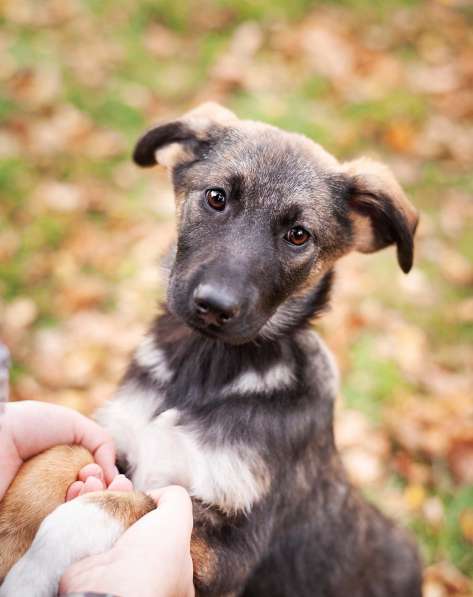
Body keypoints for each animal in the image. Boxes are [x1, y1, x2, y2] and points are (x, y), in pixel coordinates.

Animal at [0, 103, 420, 596]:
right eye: (216, 198)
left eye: (299, 235)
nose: (215, 306)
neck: (204, 366)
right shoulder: (117, 439)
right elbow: (58, 455)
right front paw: (10, 538)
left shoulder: (228, 548)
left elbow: (110, 505)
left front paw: (34, 569)